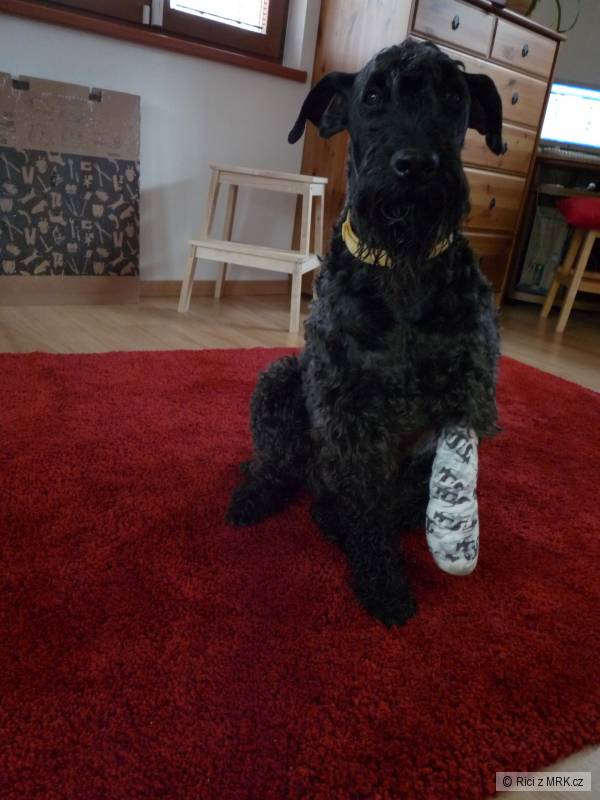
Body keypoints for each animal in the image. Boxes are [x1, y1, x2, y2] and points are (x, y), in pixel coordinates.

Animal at [227, 39, 502, 627]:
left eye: (454, 98)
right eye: (373, 96)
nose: (416, 164)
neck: (403, 268)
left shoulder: (465, 398)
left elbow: (399, 495)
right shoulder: (348, 407)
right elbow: (369, 510)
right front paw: (382, 581)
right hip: (280, 380)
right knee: (276, 465)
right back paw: (255, 496)